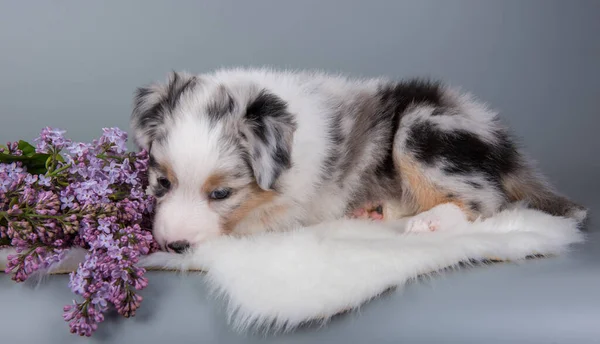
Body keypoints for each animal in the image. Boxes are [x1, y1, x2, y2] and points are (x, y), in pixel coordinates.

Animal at [130, 68, 584, 253]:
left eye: (222, 193)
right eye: (162, 183)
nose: (174, 246)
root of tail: (502, 143)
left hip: (420, 128)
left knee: (485, 201)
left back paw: (431, 222)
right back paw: (374, 211)